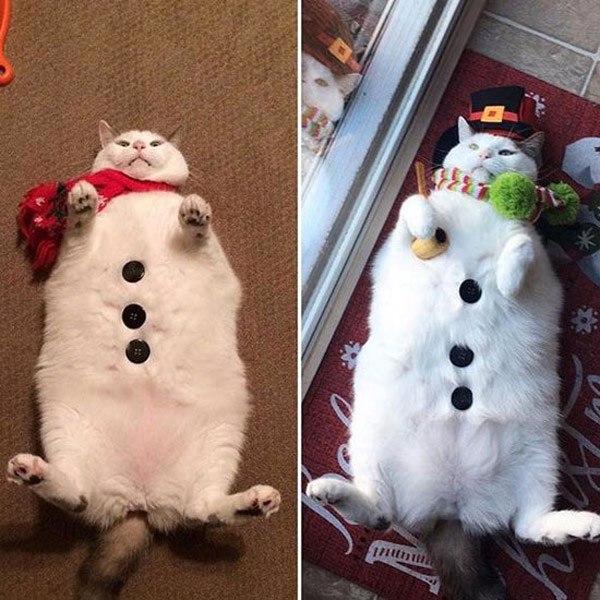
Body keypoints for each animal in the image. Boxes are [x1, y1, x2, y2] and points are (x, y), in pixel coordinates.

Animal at [8, 122, 282, 600]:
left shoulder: (214, 261)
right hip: (66, 428)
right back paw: (31, 471)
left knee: (205, 509)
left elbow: (200, 237)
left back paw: (258, 500)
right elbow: (79, 229)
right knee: (77, 494)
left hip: (219, 443)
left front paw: (194, 214)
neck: (138, 192)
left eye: (155, 144)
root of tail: (140, 501)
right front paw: (80, 202)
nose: (136, 146)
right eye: (122, 143)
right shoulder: (74, 255)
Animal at [310, 116, 600, 596]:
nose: (485, 156)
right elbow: (414, 206)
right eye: (476, 145)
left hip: (540, 454)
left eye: (505, 152)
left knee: (528, 525)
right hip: (370, 441)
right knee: (380, 512)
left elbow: (519, 254)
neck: (481, 204)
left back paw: (582, 524)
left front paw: (509, 262)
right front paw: (429, 221)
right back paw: (331, 491)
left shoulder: (538, 268)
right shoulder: (400, 238)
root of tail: (452, 506)